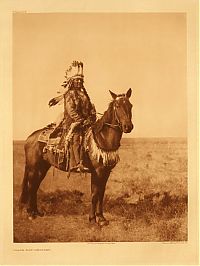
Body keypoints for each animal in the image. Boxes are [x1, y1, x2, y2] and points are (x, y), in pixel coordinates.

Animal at [19, 88, 134, 225]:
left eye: (130, 106)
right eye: (117, 106)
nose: (128, 127)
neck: (102, 138)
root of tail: (29, 138)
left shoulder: (106, 172)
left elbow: (101, 194)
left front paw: (101, 218)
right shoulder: (97, 172)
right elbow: (94, 194)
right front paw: (92, 219)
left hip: (42, 167)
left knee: (35, 186)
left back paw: (37, 212)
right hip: (33, 167)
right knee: (31, 186)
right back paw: (30, 213)